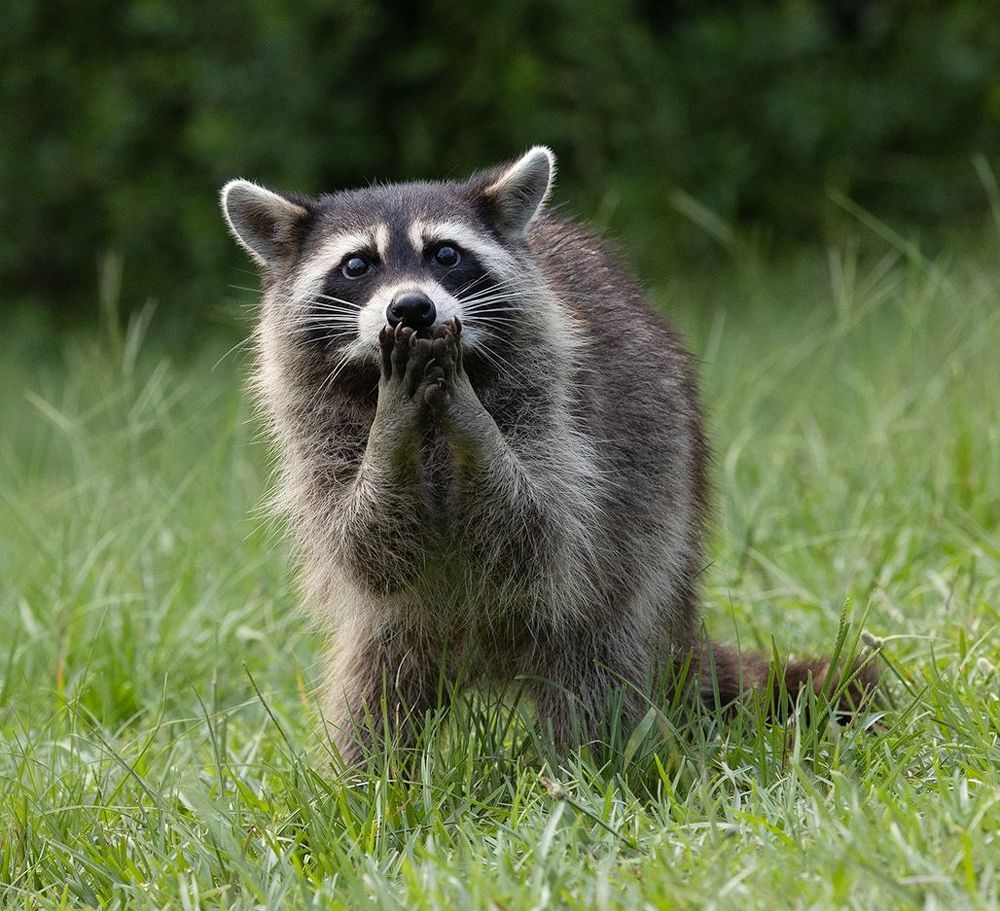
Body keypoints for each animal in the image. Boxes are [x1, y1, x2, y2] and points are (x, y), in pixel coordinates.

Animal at [221, 147, 874, 762]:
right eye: (357, 264)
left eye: (446, 254)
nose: (411, 308)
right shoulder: (316, 427)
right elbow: (364, 544)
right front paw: (390, 433)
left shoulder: (561, 402)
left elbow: (536, 527)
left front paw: (473, 422)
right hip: (402, 630)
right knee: (373, 691)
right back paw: (368, 785)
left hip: (644, 548)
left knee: (593, 665)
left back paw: (592, 768)